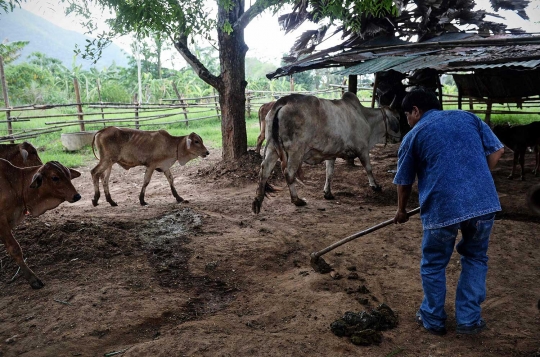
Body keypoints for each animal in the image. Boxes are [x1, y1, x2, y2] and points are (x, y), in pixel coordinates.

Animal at [0, 160, 81, 288]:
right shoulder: (2, 222)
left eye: (68, 175)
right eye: (55, 177)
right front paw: (33, 279)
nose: (77, 196)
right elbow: (15, 249)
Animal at [251, 92, 398, 214]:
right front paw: (375, 186)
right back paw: (297, 200)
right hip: (295, 151)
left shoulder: (331, 154)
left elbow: (329, 173)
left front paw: (328, 193)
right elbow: (368, 168)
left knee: (264, 170)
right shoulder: (363, 149)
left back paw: (257, 202)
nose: (399, 137)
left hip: (271, 147)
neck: (365, 118)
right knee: (289, 173)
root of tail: (282, 102)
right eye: (396, 118)